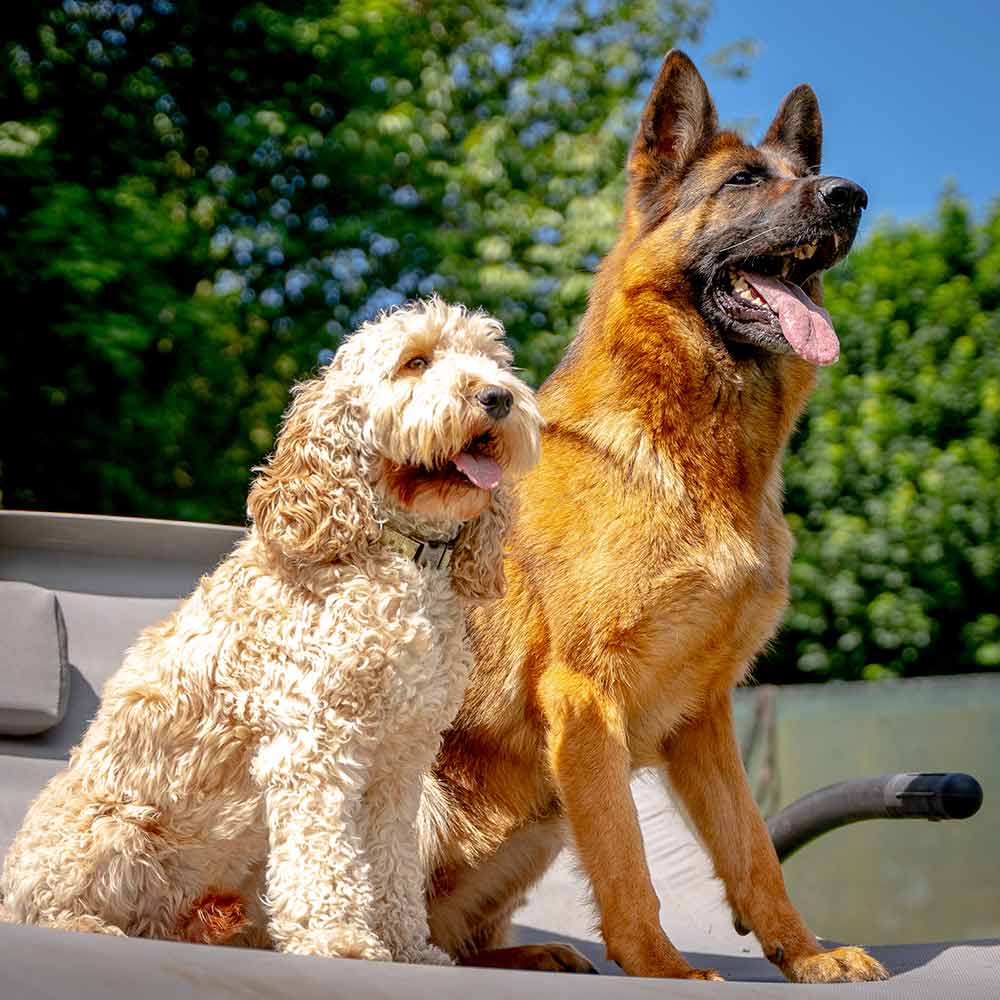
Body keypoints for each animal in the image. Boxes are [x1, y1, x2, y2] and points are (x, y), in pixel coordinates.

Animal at [0, 298, 544, 968]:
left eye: (494, 361)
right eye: (415, 362)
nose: (497, 397)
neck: (398, 556)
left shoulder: (399, 762)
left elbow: (392, 865)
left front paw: (407, 947)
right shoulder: (313, 744)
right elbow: (323, 856)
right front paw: (340, 940)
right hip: (115, 830)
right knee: (48, 909)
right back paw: (90, 930)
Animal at [418, 50, 888, 980]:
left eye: (806, 175)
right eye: (742, 181)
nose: (849, 194)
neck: (696, 467)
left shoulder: (706, 721)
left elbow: (754, 852)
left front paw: (804, 955)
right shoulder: (584, 701)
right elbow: (626, 858)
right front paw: (666, 969)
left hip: (533, 829)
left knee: (460, 941)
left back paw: (529, 957)